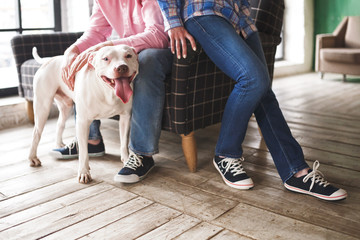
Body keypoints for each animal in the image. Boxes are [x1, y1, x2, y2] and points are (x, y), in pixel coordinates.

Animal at [28, 45, 139, 183]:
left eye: (128, 56)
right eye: (106, 58)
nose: (122, 67)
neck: (108, 92)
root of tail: (50, 59)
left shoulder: (125, 118)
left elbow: (123, 143)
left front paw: (126, 161)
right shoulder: (82, 122)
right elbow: (83, 152)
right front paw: (84, 172)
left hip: (66, 107)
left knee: (60, 124)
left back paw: (59, 144)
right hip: (42, 106)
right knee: (36, 133)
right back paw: (33, 157)